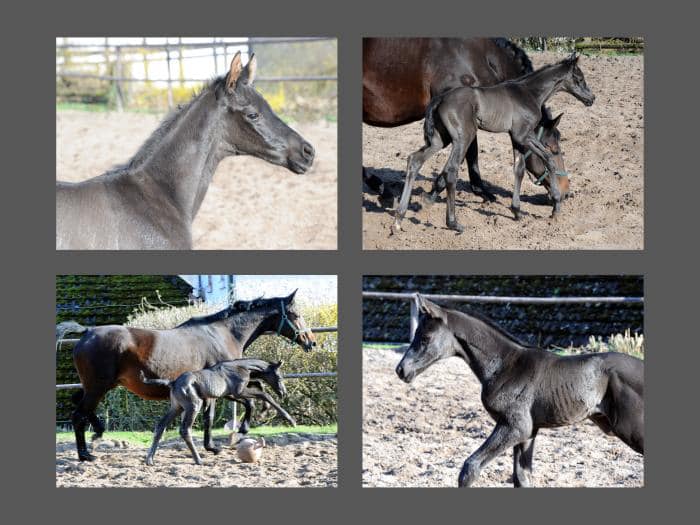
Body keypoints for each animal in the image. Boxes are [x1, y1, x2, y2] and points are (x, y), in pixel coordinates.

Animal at [56, 290, 314, 458]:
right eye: (295, 315)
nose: (311, 341)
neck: (223, 334)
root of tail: (87, 332)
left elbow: (244, 400)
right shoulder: (221, 387)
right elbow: (214, 415)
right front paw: (221, 442)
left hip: (94, 386)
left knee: (78, 404)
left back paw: (98, 433)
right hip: (98, 387)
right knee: (78, 415)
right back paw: (85, 454)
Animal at [364, 36, 568, 204]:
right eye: (552, 148)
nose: (566, 191)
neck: (473, 56)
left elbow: (470, 155)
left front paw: (480, 190)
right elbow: (468, 153)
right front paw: (436, 192)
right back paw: (382, 189)